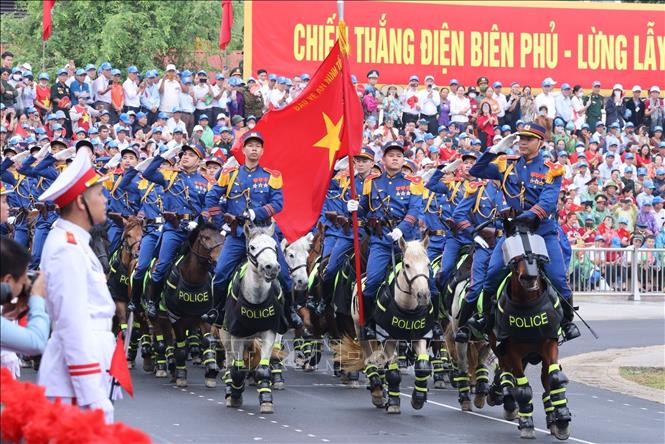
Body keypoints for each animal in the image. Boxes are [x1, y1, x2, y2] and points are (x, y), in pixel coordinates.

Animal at [150, 222, 223, 388]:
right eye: (205, 237)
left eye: (222, 237)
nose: (220, 259)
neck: (193, 280)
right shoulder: (176, 319)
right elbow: (181, 349)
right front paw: (181, 375)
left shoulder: (204, 317)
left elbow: (208, 341)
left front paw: (211, 371)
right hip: (161, 319)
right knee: (168, 342)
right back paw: (171, 368)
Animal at [218, 224, 286, 414]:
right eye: (253, 247)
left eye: (274, 246)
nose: (271, 267)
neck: (256, 299)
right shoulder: (236, 335)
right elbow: (237, 369)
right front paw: (235, 396)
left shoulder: (270, 333)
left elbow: (262, 369)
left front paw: (266, 400)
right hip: (225, 336)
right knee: (229, 363)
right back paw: (230, 391)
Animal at [340, 238, 434, 414]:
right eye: (407, 265)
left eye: (428, 263)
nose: (423, 295)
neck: (407, 308)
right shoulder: (388, 337)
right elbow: (392, 372)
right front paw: (394, 403)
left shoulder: (420, 336)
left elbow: (423, 366)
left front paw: (418, 398)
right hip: (360, 330)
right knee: (370, 359)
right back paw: (377, 392)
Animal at [488, 217, 572, 438]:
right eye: (514, 253)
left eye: (537, 253)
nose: (530, 277)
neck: (528, 304)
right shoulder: (512, 351)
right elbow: (523, 388)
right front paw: (526, 423)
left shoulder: (550, 344)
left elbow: (554, 379)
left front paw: (562, 420)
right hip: (500, 349)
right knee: (507, 374)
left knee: (546, 379)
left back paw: (552, 417)